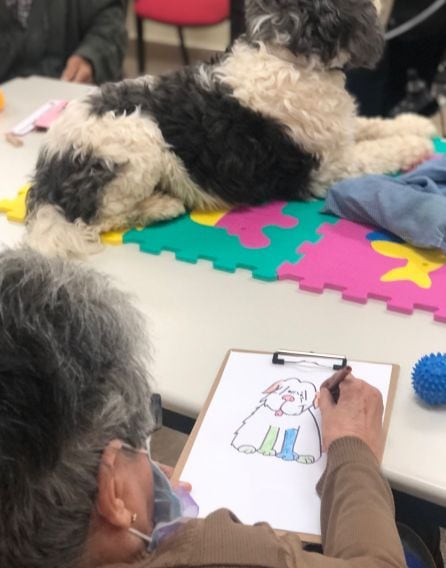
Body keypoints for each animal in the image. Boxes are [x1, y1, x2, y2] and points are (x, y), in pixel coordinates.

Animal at [25, 0, 436, 258]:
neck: (285, 55)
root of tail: (49, 168)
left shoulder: (341, 135)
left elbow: (371, 125)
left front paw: (414, 123)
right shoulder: (329, 168)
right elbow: (381, 151)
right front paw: (417, 143)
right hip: (138, 146)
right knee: (100, 217)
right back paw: (161, 206)